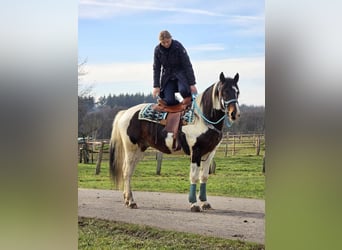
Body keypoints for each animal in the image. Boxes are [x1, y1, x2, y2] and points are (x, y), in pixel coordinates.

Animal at [109, 71, 240, 212]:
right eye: (224, 91)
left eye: (237, 91)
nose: (234, 114)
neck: (202, 119)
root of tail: (125, 113)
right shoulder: (196, 152)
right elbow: (194, 176)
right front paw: (194, 204)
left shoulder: (210, 153)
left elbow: (204, 176)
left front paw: (205, 203)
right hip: (131, 149)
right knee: (127, 172)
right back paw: (131, 202)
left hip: (139, 150)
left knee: (129, 171)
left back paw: (128, 200)